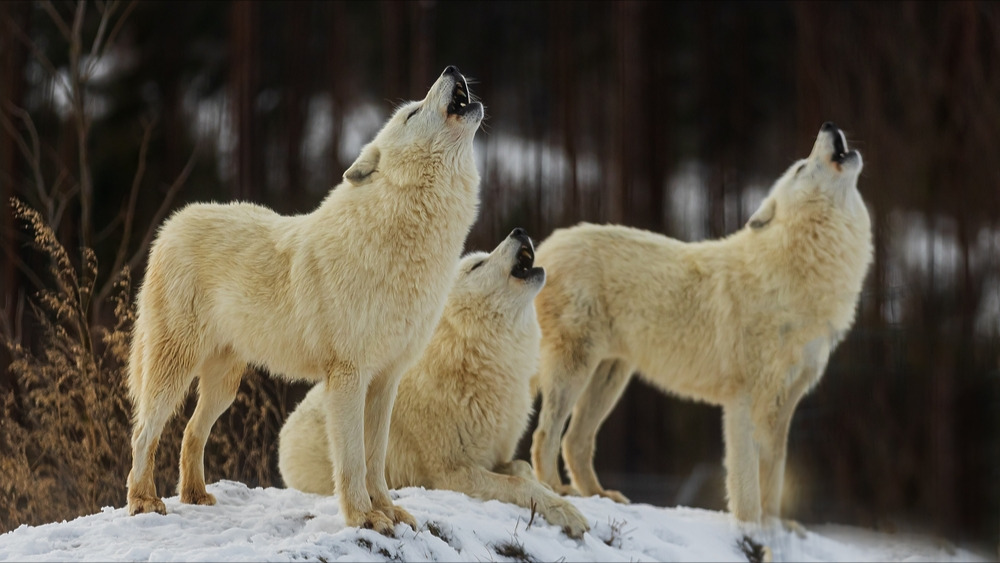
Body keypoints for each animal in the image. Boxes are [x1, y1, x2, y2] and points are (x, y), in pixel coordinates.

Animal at [125, 64, 484, 536]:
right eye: (411, 112)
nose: (452, 69)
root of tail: (171, 224)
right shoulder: (348, 377)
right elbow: (352, 460)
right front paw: (363, 517)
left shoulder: (386, 380)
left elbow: (376, 461)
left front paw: (388, 511)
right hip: (174, 371)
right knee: (143, 432)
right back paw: (143, 501)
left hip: (224, 386)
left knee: (189, 432)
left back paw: (195, 496)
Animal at [278, 231, 588, 540]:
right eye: (477, 265)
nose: (519, 231)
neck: (474, 361)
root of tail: (285, 427)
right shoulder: (449, 473)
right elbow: (518, 484)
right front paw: (567, 512)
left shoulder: (492, 456)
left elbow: (521, 468)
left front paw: (550, 489)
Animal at [532, 123, 876, 524]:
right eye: (801, 168)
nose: (828, 126)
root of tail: (545, 247)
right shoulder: (743, 401)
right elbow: (746, 482)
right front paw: (751, 526)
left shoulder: (785, 404)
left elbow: (775, 478)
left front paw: (776, 526)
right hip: (576, 370)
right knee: (545, 435)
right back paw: (555, 489)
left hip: (610, 376)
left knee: (574, 441)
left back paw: (601, 494)